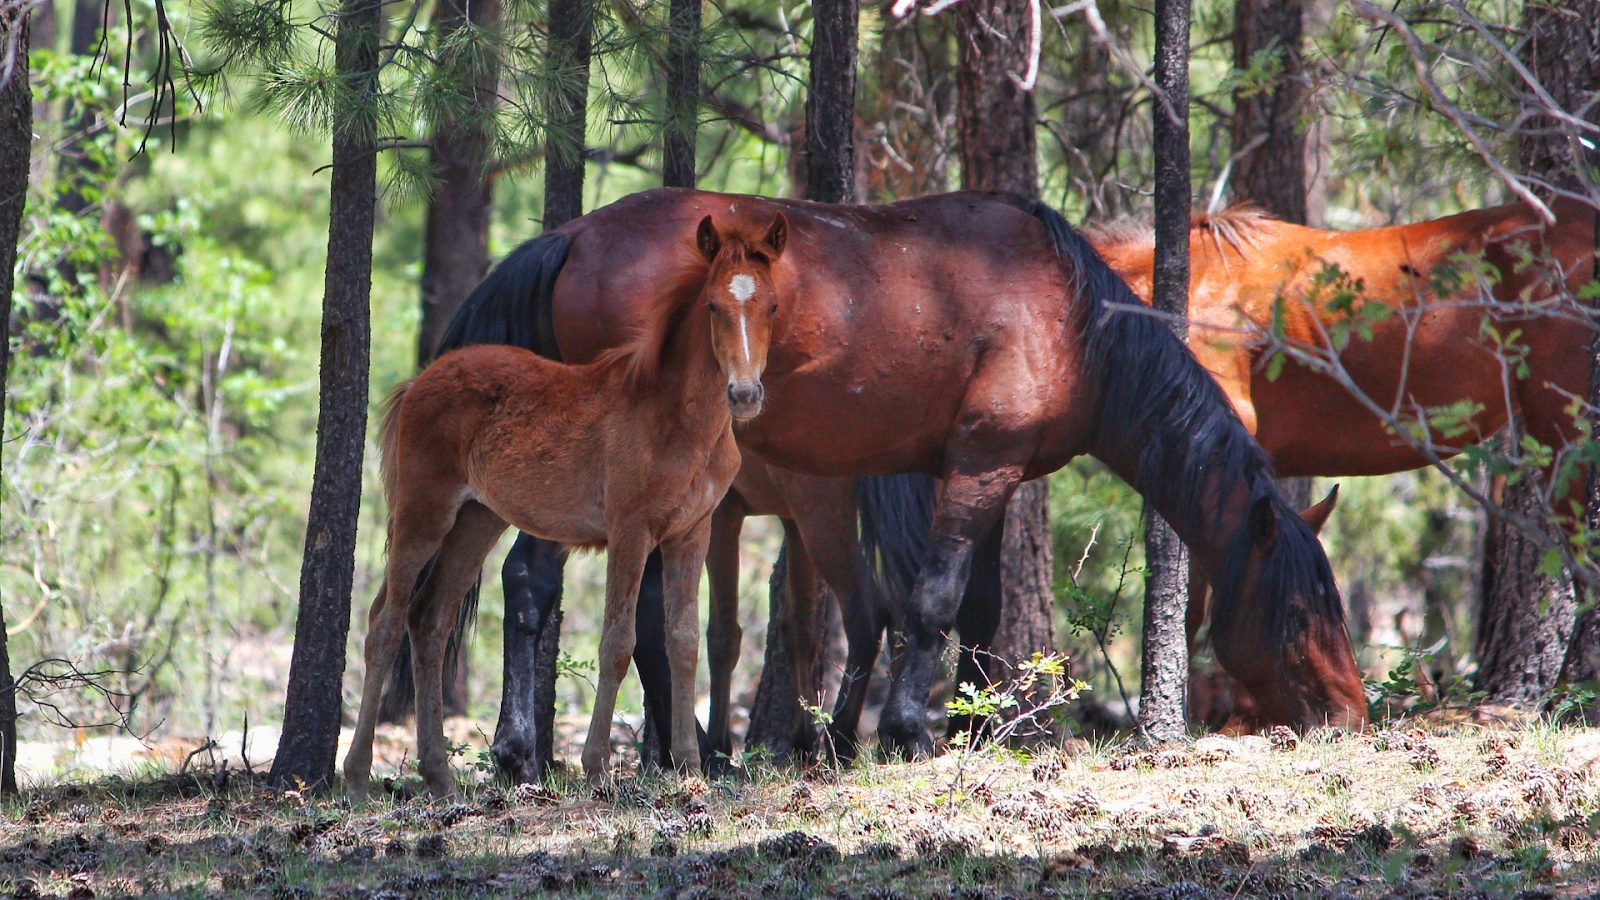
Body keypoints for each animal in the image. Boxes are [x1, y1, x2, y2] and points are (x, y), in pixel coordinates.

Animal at [344, 212, 787, 794]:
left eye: (772, 306)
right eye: (713, 305)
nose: (745, 395)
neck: (678, 419)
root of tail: (419, 381)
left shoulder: (692, 532)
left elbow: (684, 640)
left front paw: (691, 766)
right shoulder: (629, 530)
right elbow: (618, 640)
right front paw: (596, 766)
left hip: (476, 520)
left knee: (430, 621)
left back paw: (439, 776)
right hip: (424, 512)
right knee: (385, 623)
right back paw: (355, 775)